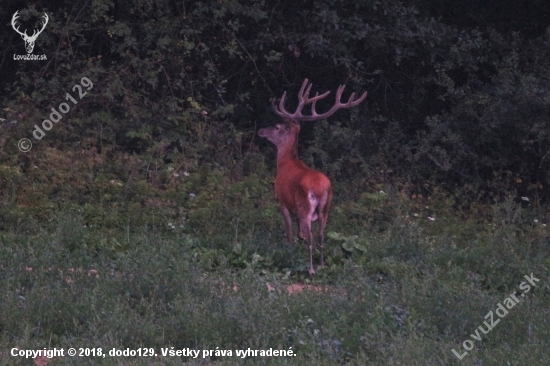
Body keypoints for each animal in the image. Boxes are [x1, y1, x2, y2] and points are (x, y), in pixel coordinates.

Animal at [260, 79, 370, 274]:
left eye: (277, 127)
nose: (260, 131)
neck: (285, 163)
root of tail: (321, 188)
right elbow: (299, 235)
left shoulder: (282, 200)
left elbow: (290, 233)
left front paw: (288, 252)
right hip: (325, 209)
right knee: (321, 236)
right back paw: (321, 264)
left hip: (306, 208)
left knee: (311, 237)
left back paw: (311, 269)